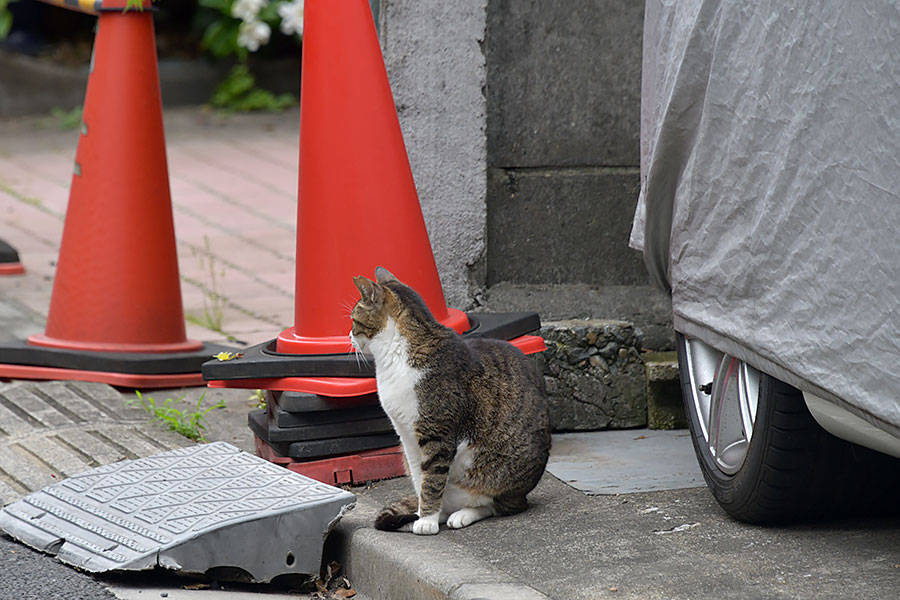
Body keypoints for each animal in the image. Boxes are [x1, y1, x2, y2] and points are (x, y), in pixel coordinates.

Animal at [350, 268, 548, 536]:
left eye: (353, 319)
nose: (349, 336)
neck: (396, 355)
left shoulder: (437, 432)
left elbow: (432, 479)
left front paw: (427, 522)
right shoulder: (406, 435)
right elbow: (420, 478)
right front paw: (425, 515)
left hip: (499, 476)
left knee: (496, 504)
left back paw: (462, 515)